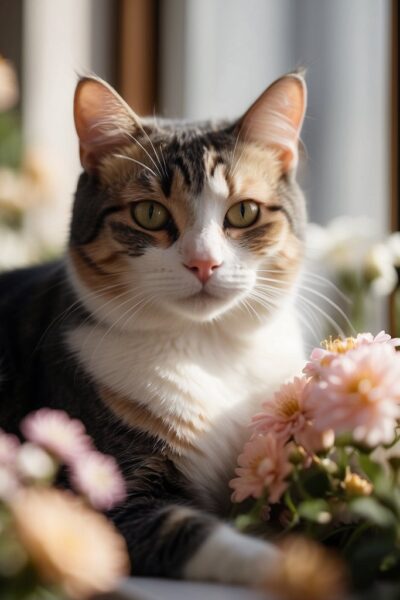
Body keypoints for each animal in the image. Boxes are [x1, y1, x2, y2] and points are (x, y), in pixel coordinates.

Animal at [0, 72, 306, 588]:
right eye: (149, 213)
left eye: (243, 212)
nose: (204, 262)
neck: (208, 350)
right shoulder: (108, 494)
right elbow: (192, 530)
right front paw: (285, 565)